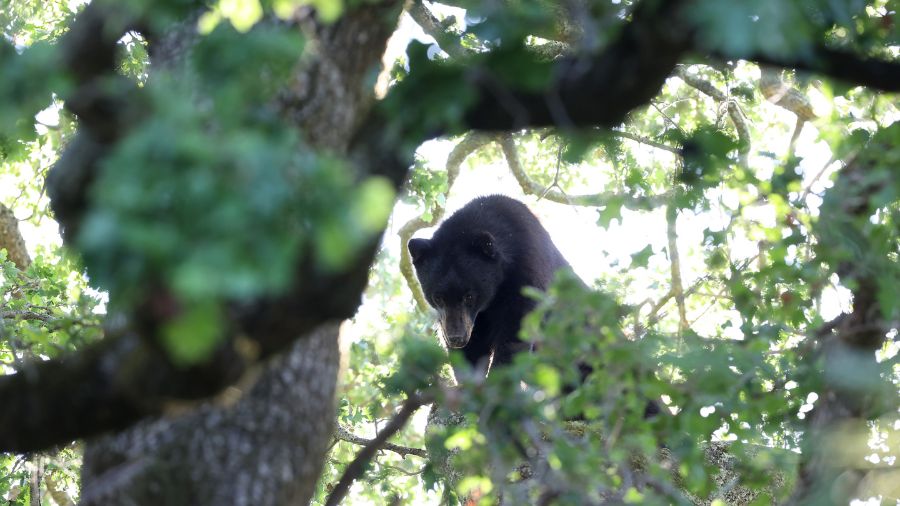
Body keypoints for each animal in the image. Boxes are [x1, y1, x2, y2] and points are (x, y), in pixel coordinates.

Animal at [407, 195, 570, 372]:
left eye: (470, 296)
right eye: (437, 298)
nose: (456, 338)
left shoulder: (527, 277)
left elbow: (515, 334)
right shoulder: (468, 320)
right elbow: (472, 350)